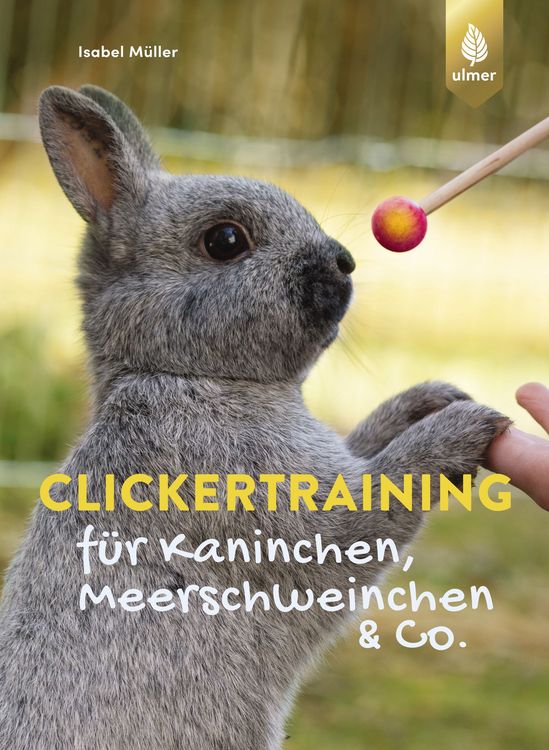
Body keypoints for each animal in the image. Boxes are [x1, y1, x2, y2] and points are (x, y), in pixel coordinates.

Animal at [0, 85, 509, 750]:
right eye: (225, 241)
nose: (343, 261)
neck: (192, 376)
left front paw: (431, 400)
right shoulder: (294, 519)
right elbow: (382, 491)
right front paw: (460, 428)